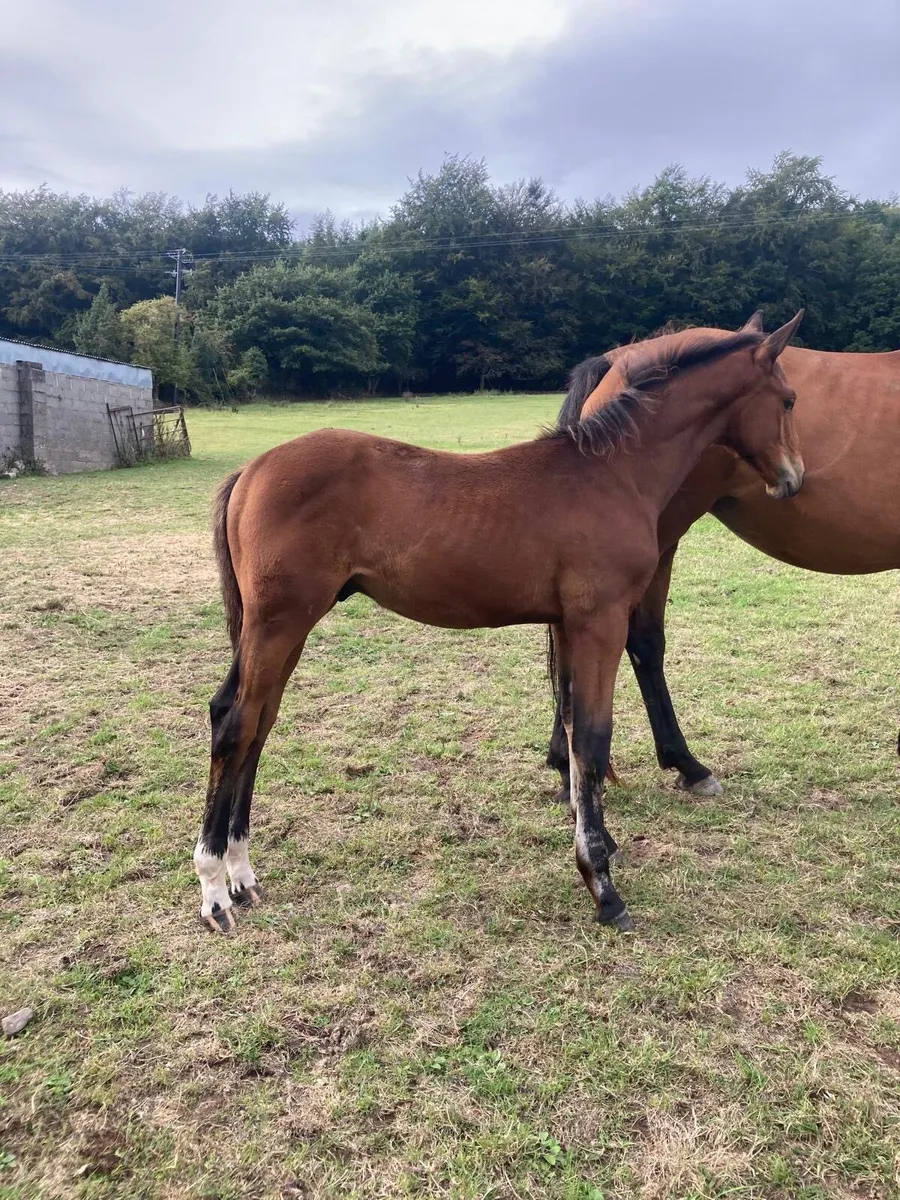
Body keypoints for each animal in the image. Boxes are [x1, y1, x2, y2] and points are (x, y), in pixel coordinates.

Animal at [195, 313, 804, 935]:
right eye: (788, 399)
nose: (792, 479)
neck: (612, 474)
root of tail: (251, 471)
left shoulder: (567, 624)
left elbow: (572, 730)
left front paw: (598, 842)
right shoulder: (601, 622)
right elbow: (593, 738)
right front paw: (602, 886)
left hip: (283, 628)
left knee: (256, 720)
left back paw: (242, 874)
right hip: (279, 622)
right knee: (236, 723)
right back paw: (215, 889)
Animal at [546, 312, 900, 803]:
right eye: (788, 402)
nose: (796, 478)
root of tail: (616, 361)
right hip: (658, 542)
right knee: (640, 643)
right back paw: (679, 764)